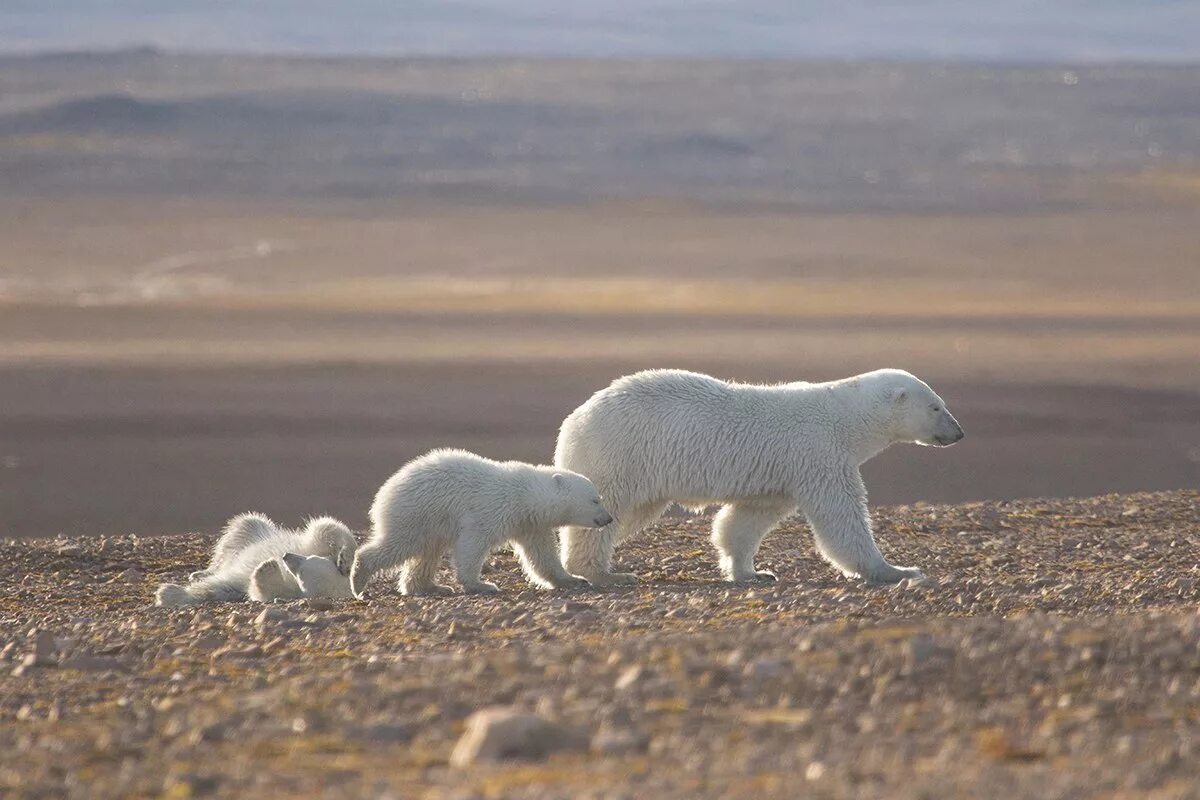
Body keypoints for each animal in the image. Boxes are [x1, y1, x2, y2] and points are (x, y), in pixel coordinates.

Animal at [554, 369, 964, 587]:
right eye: (936, 407)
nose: (958, 433)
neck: (843, 416)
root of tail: (572, 420)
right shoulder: (818, 453)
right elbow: (841, 517)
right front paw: (895, 570)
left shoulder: (778, 475)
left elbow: (746, 519)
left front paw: (753, 572)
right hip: (620, 455)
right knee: (604, 513)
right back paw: (604, 574)